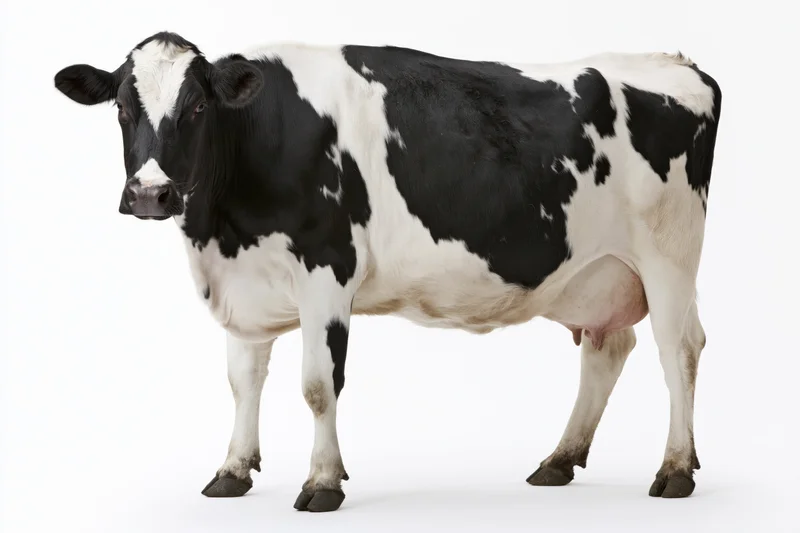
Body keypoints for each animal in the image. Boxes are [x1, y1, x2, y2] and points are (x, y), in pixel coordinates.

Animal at [54, 31, 722, 512]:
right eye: (121, 107)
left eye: (196, 105)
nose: (150, 194)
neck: (223, 230)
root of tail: (679, 62)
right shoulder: (244, 286)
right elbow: (243, 382)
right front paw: (232, 470)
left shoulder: (327, 270)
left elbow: (319, 385)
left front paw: (322, 482)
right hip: (599, 271)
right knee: (609, 348)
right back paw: (559, 460)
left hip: (669, 255)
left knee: (679, 350)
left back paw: (674, 469)